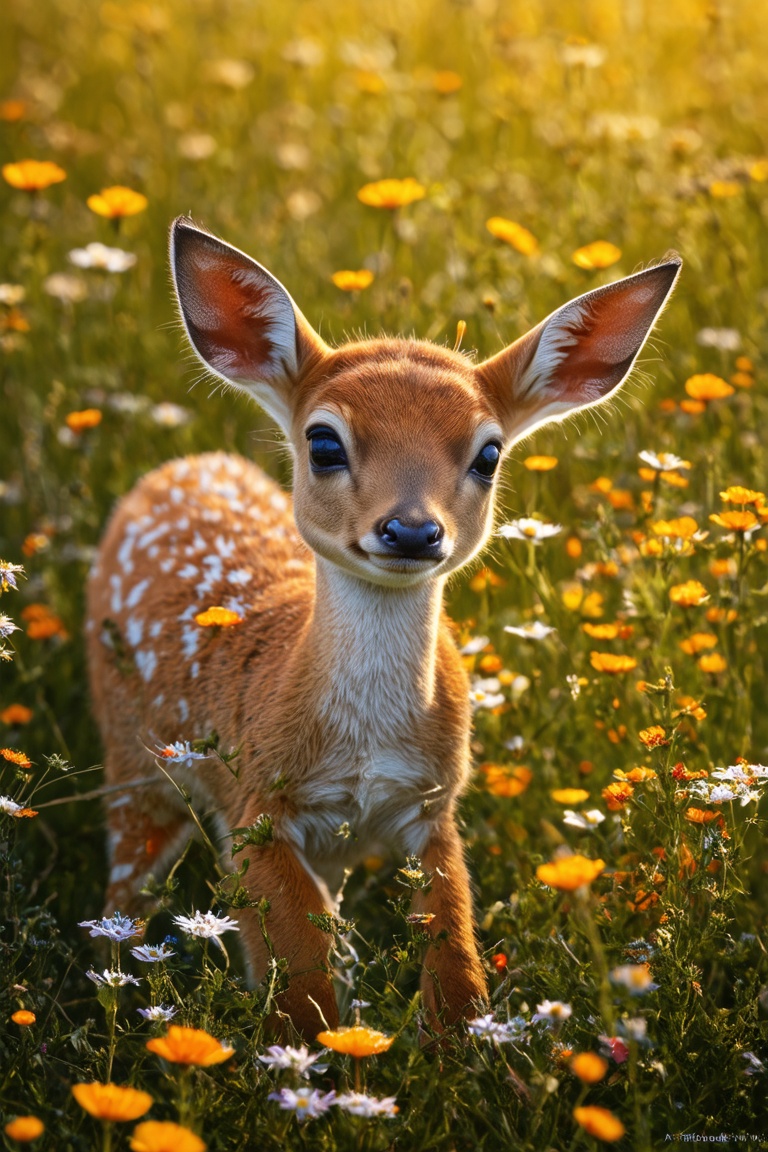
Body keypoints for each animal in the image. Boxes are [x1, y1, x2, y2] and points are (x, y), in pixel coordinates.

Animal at [86, 217, 680, 1037]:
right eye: (324, 442)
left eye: (489, 453)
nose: (410, 530)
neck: (361, 746)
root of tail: (171, 470)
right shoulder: (258, 804)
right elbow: (299, 979)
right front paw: (312, 1055)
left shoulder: (432, 807)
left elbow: (453, 961)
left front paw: (458, 1047)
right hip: (131, 756)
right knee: (123, 893)